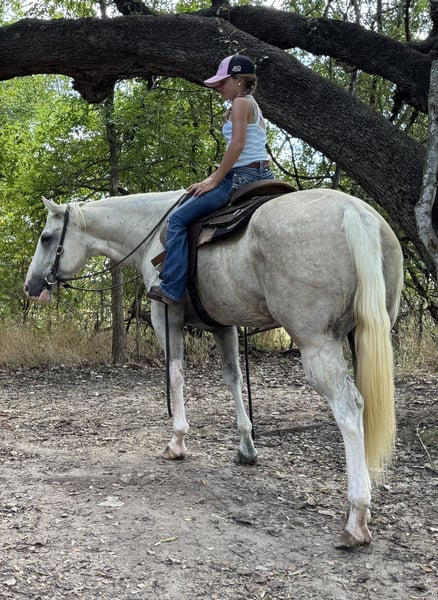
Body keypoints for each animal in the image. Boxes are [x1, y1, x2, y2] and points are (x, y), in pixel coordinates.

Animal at [24, 188, 404, 548]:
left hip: (317, 344)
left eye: (46, 238)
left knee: (349, 407)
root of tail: (354, 211)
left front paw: (177, 441)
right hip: (364, 336)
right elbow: (233, 379)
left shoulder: (166, 318)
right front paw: (247, 446)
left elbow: (176, 374)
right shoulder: (225, 325)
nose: (31, 287)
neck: (153, 233)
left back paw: (357, 515)